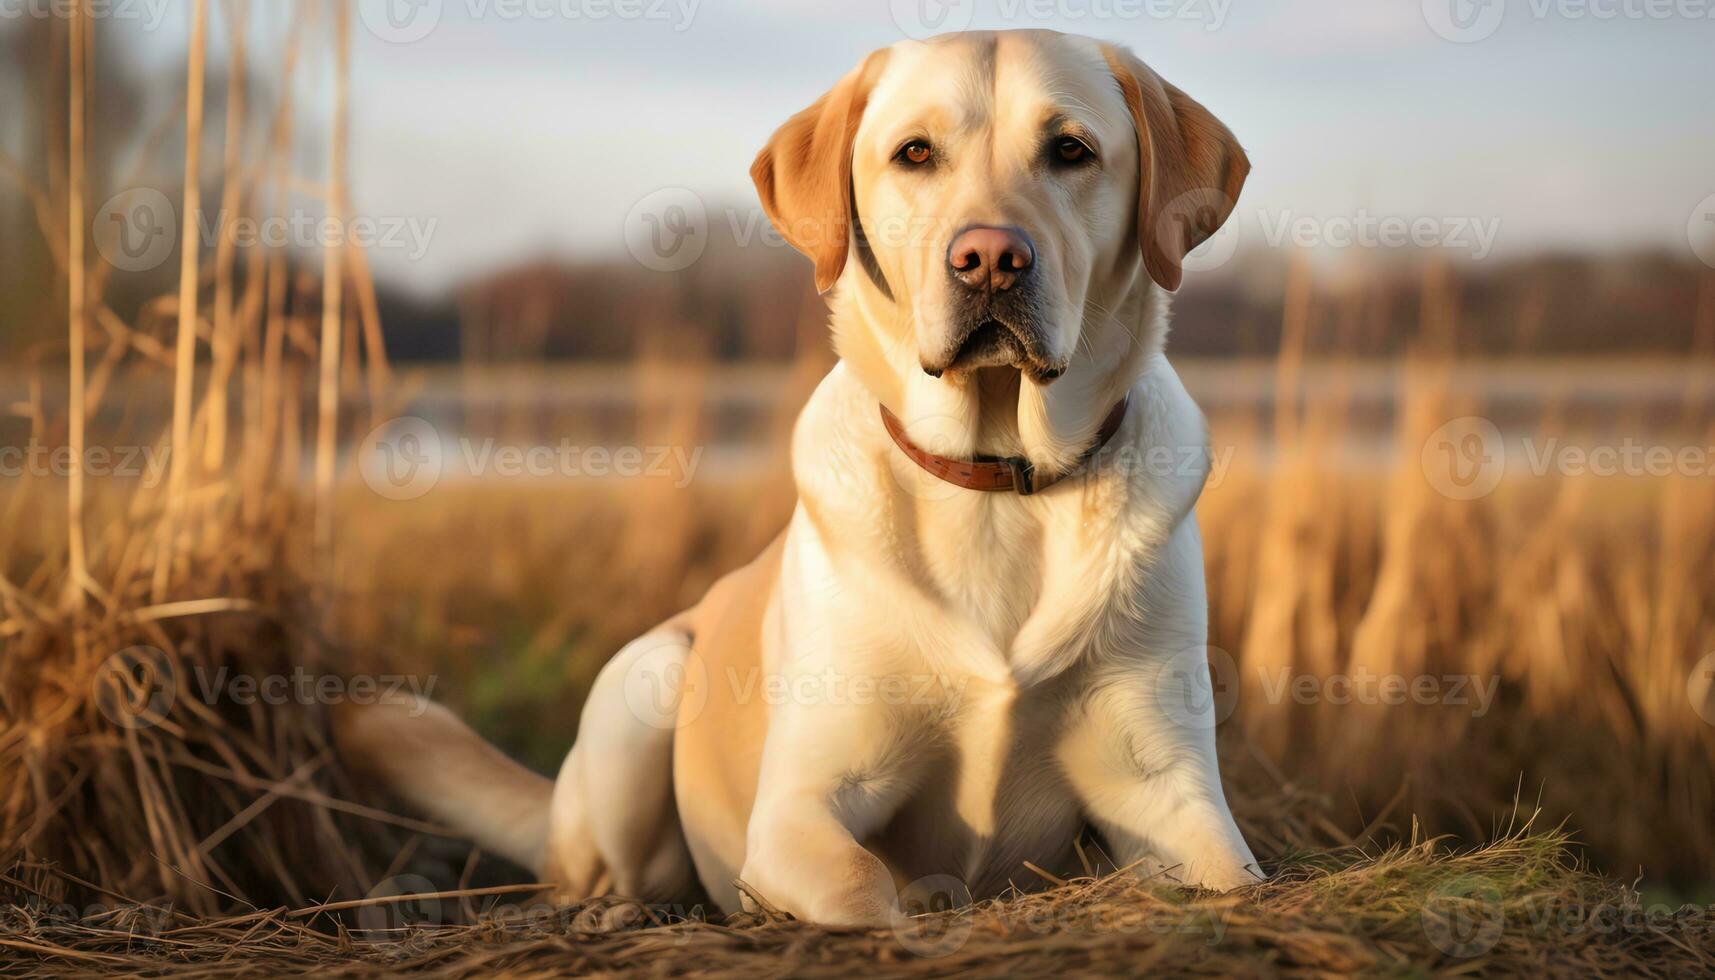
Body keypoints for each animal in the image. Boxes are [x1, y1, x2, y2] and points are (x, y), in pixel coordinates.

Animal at [341, 24, 1269, 926]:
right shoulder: (801, 806)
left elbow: (1236, 880)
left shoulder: (1169, 791)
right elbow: (861, 891)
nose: (990, 258)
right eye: (914, 154)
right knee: (587, 873)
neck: (991, 473)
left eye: (1070, 150)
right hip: (644, 680)